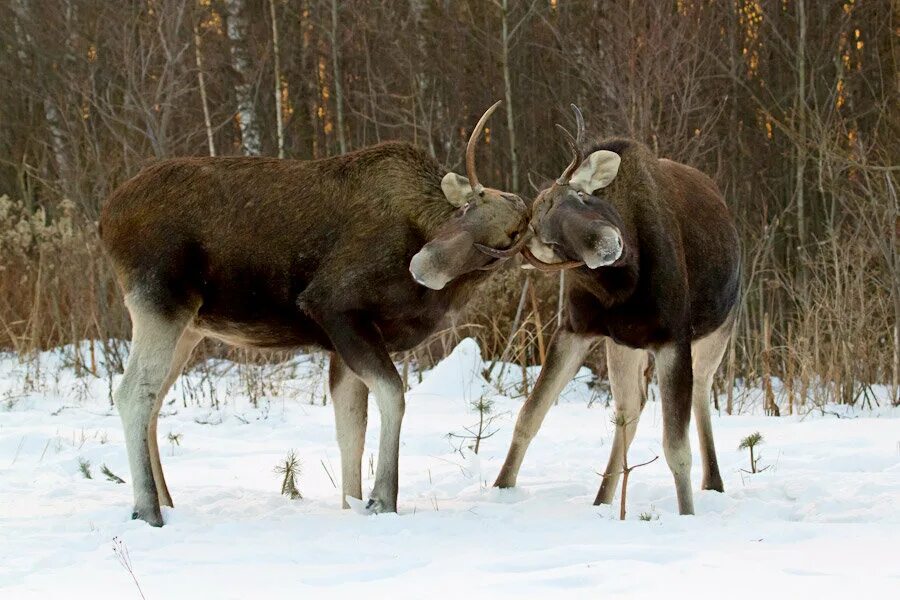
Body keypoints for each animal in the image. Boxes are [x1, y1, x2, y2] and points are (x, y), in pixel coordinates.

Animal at [101, 101, 532, 524]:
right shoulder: (335, 308)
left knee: (154, 402)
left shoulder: (343, 343)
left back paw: (166, 500)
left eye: (501, 246)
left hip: (188, 327)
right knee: (133, 393)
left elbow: (351, 427)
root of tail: (105, 219)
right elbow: (393, 396)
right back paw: (147, 509)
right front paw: (382, 499)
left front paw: (353, 504)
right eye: (465, 210)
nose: (424, 267)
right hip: (160, 304)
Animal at [496, 105, 740, 512]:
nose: (606, 244)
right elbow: (530, 413)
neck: (625, 287)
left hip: (718, 329)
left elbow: (677, 450)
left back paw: (714, 482)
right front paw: (500, 487)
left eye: (580, 197)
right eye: (551, 240)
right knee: (631, 409)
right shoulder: (576, 328)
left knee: (702, 391)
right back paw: (602, 500)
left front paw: (687, 514)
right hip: (624, 345)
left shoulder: (673, 337)